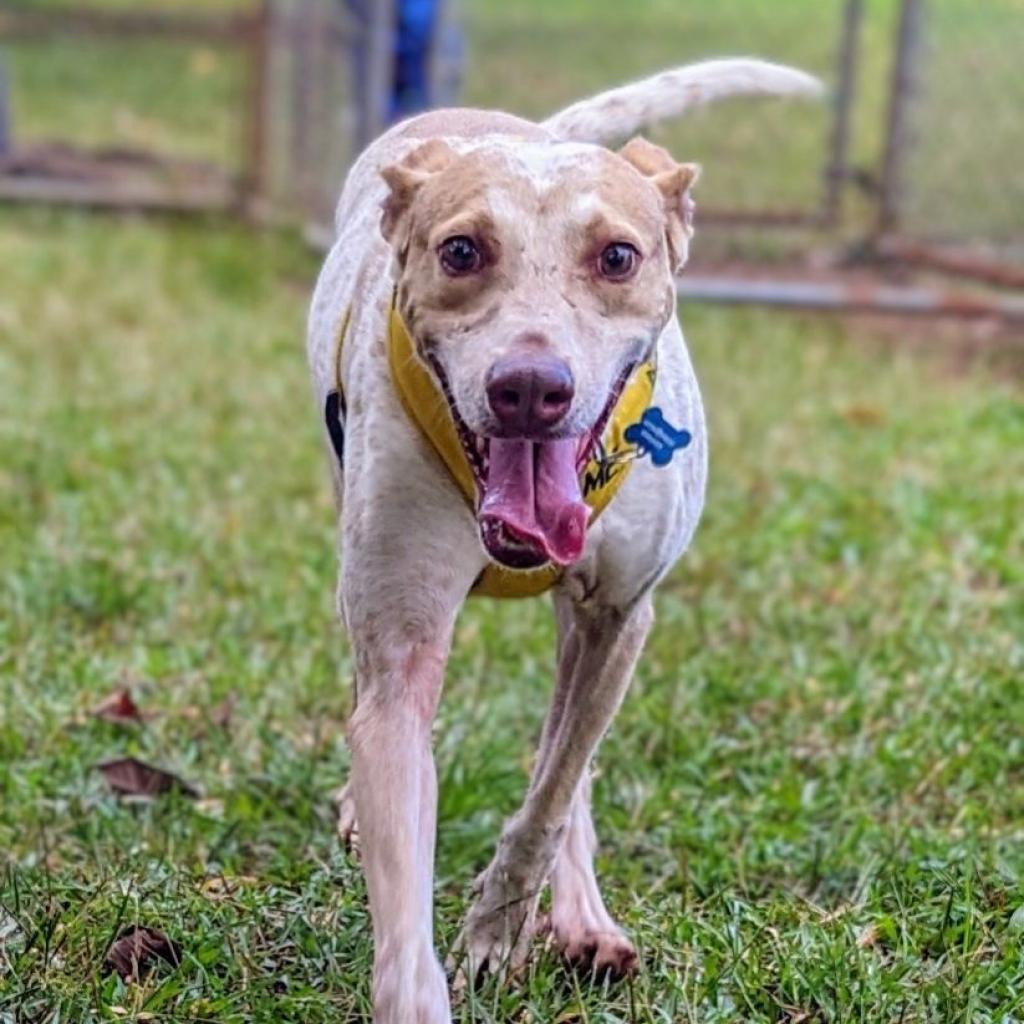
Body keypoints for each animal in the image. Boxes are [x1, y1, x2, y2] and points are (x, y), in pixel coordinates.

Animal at [305, 58, 823, 1024]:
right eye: (461, 251)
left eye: (617, 256)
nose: (529, 388)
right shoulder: (401, 644)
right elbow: (403, 845)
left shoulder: (620, 615)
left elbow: (552, 791)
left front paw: (499, 927)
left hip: (590, 623)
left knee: (568, 757)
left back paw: (582, 916)